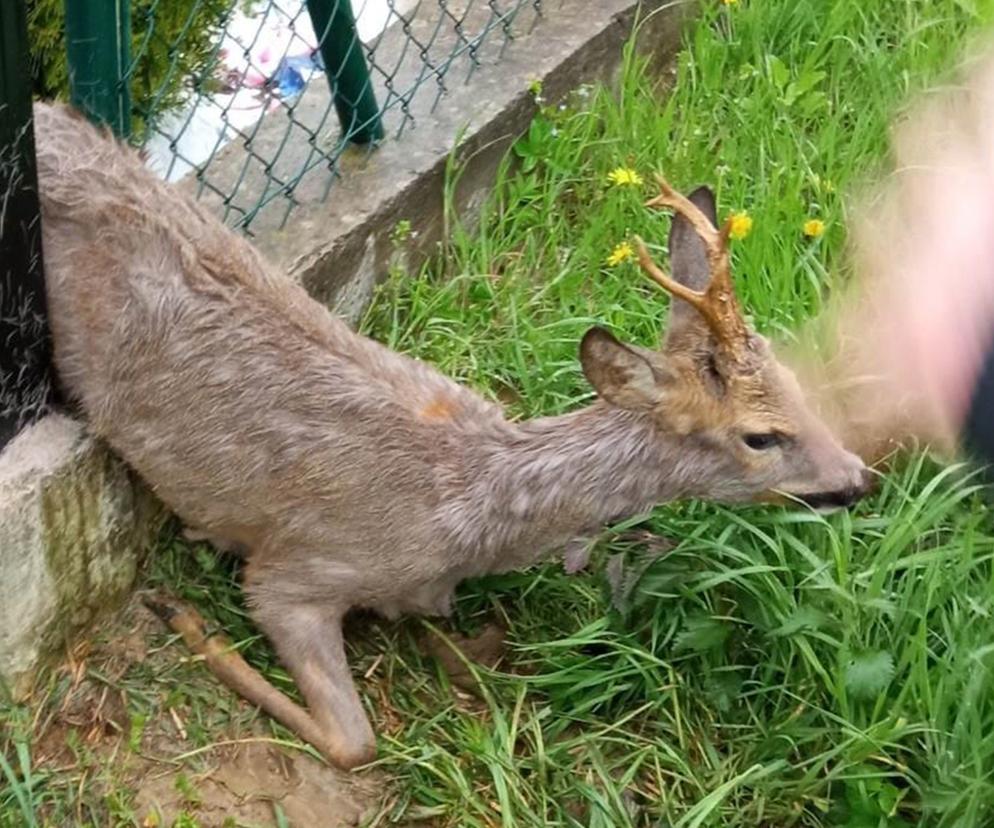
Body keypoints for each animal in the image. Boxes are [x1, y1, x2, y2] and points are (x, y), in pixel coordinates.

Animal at [33, 102, 868, 768]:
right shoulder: (297, 568)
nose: (861, 478)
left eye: (799, 386)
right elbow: (355, 742)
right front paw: (184, 615)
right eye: (760, 436)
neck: (467, 507)